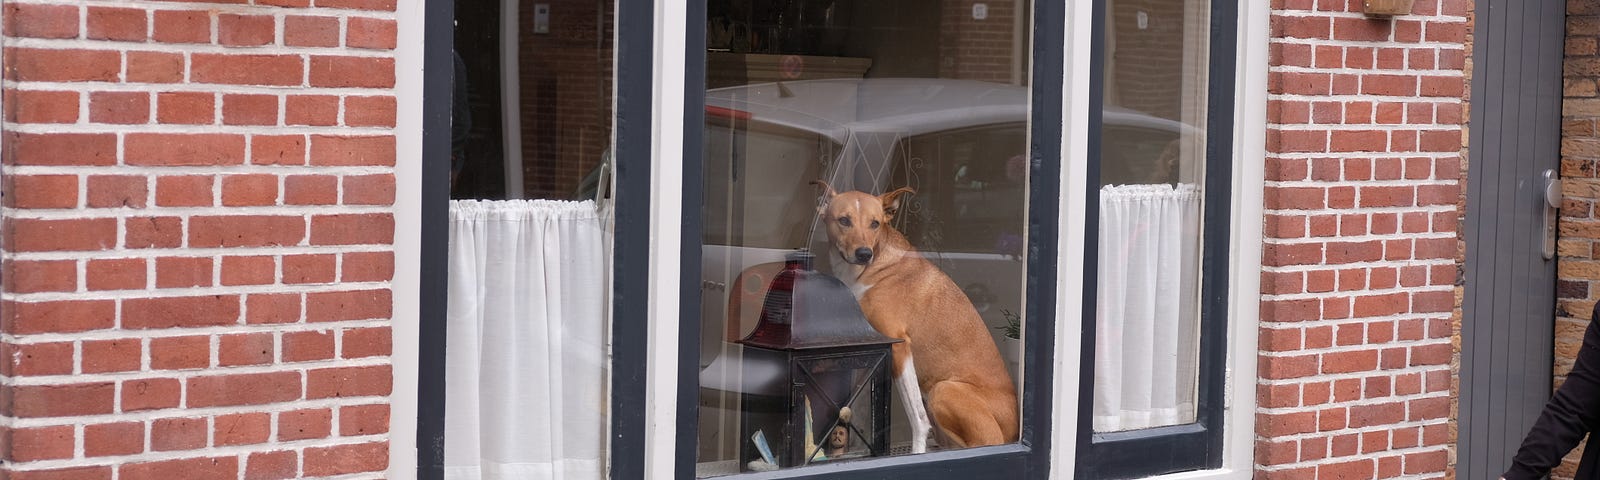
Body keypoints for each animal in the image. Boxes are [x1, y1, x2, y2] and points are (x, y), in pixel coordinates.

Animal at [806, 181, 1017, 451]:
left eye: (875, 223)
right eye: (844, 220)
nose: (864, 253)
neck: (869, 269)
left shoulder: (900, 347)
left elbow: (918, 418)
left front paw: (917, 452)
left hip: (944, 390)